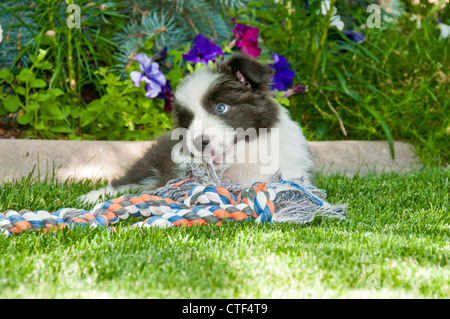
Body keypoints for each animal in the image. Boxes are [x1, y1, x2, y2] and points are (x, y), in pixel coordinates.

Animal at [80, 54, 312, 205]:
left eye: (221, 108)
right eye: (189, 119)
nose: (199, 142)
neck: (242, 160)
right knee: (125, 182)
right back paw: (90, 197)